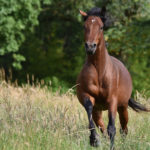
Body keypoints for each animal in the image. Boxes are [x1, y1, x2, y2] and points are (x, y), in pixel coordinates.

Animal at [77, 6, 149, 149]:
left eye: (101, 27)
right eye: (84, 26)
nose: (90, 46)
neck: (99, 72)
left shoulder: (112, 101)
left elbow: (112, 128)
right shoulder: (86, 96)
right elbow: (90, 116)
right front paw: (94, 140)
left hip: (123, 107)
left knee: (123, 128)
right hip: (98, 110)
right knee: (102, 127)